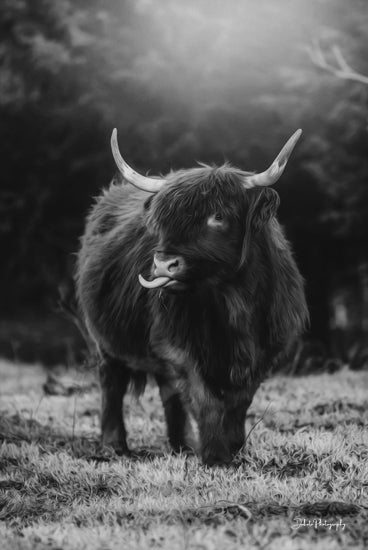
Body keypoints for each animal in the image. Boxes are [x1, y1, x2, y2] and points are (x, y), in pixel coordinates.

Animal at [76, 129, 310, 466]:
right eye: (163, 219)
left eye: (218, 216)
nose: (163, 264)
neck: (232, 302)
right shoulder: (177, 345)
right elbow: (204, 397)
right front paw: (215, 455)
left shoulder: (267, 348)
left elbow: (239, 400)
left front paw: (235, 448)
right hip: (104, 340)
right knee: (112, 382)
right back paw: (114, 445)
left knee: (167, 390)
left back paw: (182, 444)